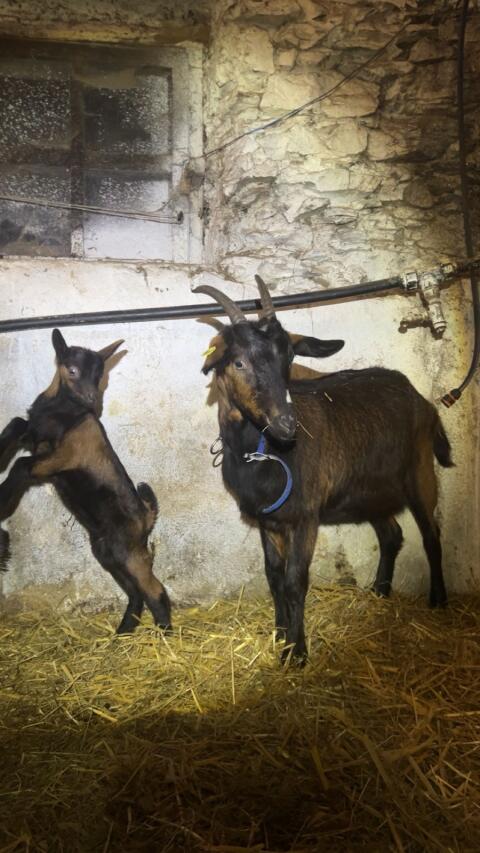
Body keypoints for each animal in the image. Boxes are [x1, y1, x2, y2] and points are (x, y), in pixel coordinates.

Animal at [0, 329, 171, 635]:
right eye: (72, 370)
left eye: (100, 375)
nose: (92, 400)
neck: (62, 413)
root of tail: (145, 517)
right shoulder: (37, 441)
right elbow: (18, 423)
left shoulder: (63, 457)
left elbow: (21, 465)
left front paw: (0, 500)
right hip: (107, 551)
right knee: (136, 592)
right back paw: (124, 632)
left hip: (128, 550)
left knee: (154, 589)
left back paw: (164, 634)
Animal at [195, 276, 453, 664]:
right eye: (238, 362)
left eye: (289, 358)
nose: (286, 424)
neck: (263, 453)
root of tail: (423, 401)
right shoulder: (268, 520)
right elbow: (274, 577)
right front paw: (279, 636)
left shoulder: (306, 515)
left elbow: (295, 581)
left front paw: (296, 652)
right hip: (368, 491)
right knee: (391, 534)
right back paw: (380, 590)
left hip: (420, 472)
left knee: (431, 534)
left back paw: (438, 599)